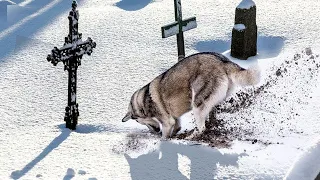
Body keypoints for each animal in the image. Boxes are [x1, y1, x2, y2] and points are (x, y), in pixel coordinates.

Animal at [121, 52, 258, 139]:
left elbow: (165, 136)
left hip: (197, 104)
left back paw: (192, 136)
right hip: (210, 102)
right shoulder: (174, 119)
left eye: (138, 121)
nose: (154, 131)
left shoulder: (167, 122)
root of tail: (223, 61)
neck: (143, 101)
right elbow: (176, 127)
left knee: (201, 128)